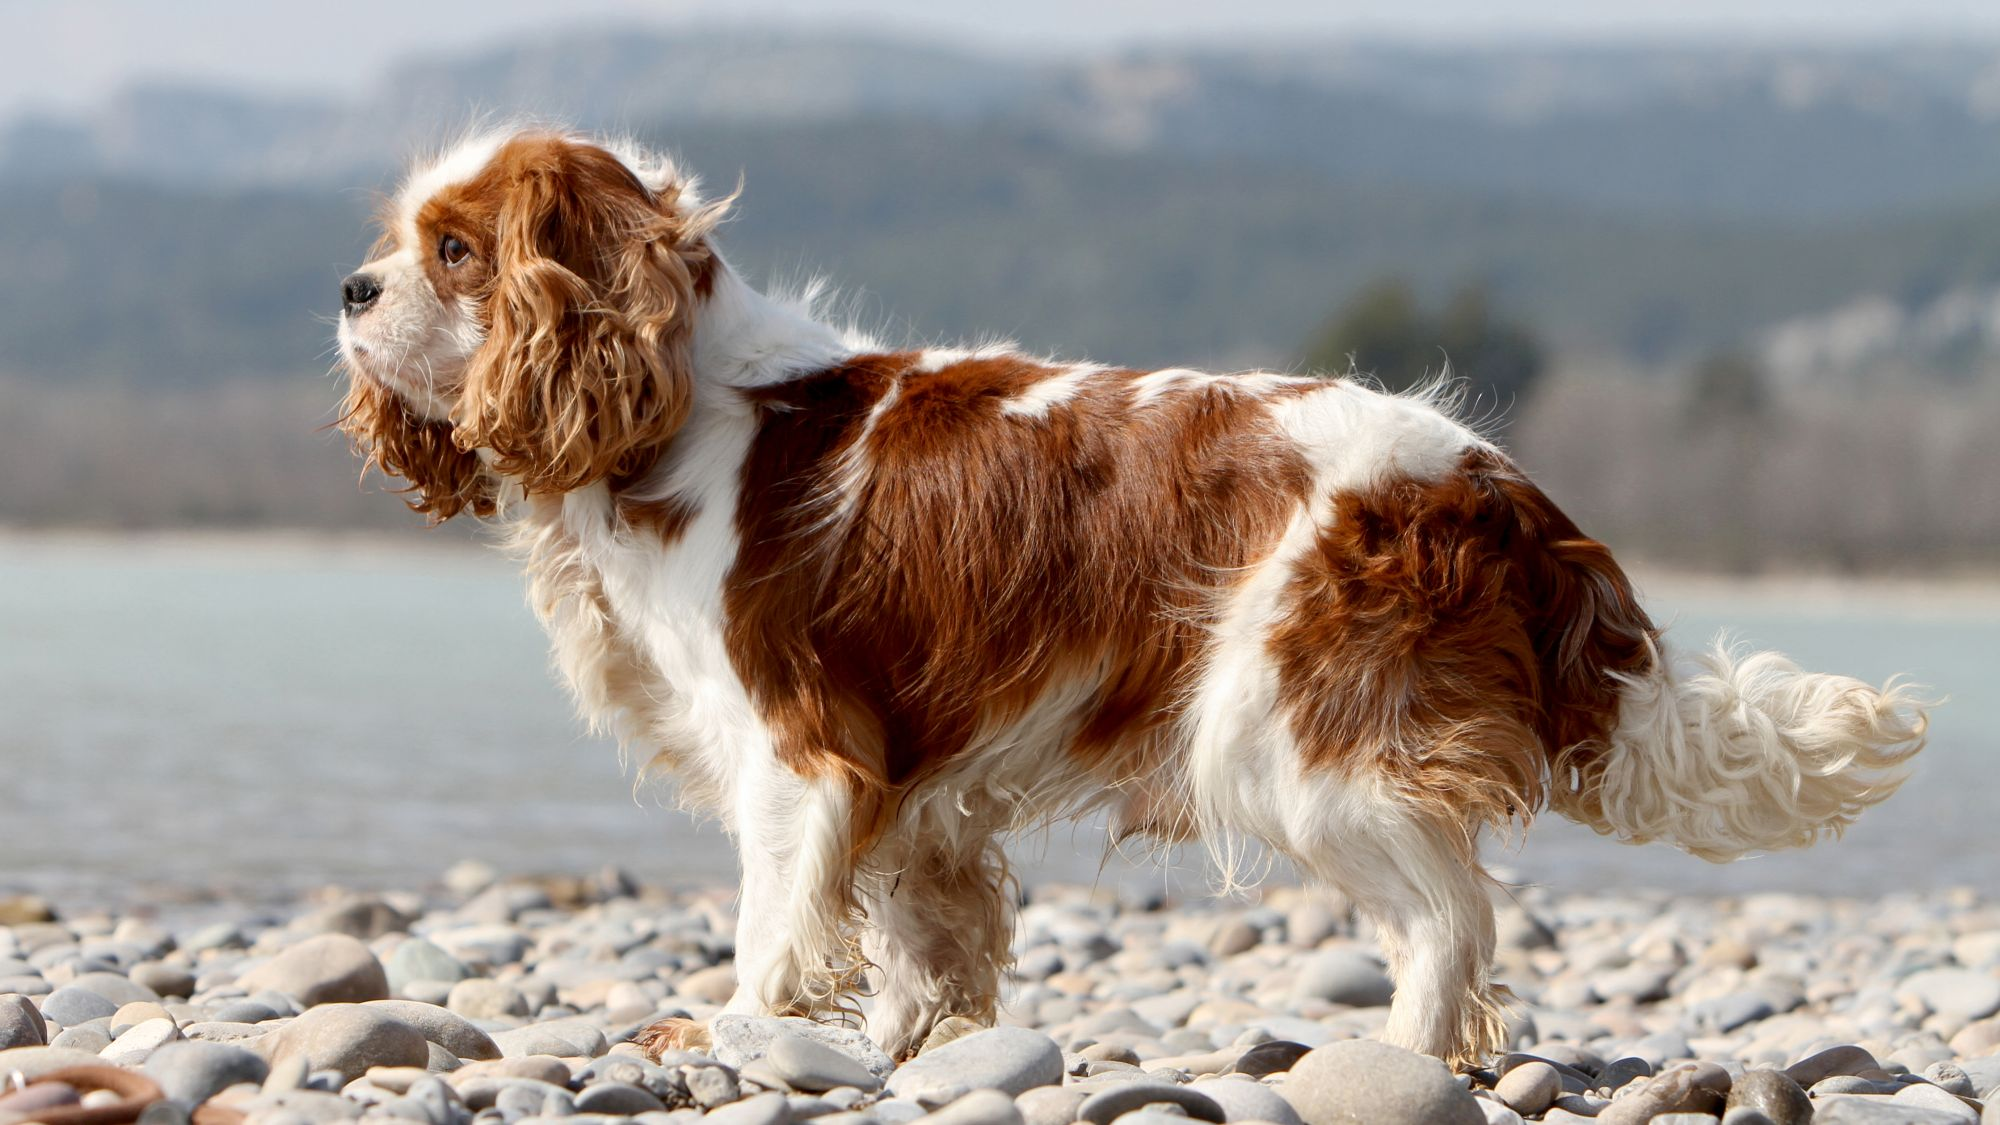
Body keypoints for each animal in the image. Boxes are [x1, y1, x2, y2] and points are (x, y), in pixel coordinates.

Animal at [336, 127, 1928, 1064]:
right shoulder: (913, 778)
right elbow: (926, 928)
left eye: (456, 252)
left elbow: (774, 919)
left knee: (1449, 923)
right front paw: (915, 1046)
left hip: (1294, 745)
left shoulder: (798, 750)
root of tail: (1496, 483)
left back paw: (1404, 1060)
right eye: (399, 240)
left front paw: (735, 1031)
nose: (350, 291)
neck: (675, 400)